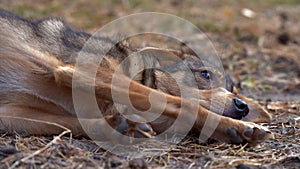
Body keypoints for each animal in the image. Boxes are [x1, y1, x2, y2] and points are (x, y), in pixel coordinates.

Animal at [0, 9, 272, 146]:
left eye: (234, 90)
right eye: (205, 74)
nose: (243, 106)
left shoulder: (12, 115)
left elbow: (77, 123)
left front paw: (122, 126)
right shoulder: (82, 71)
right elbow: (183, 104)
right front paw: (238, 127)